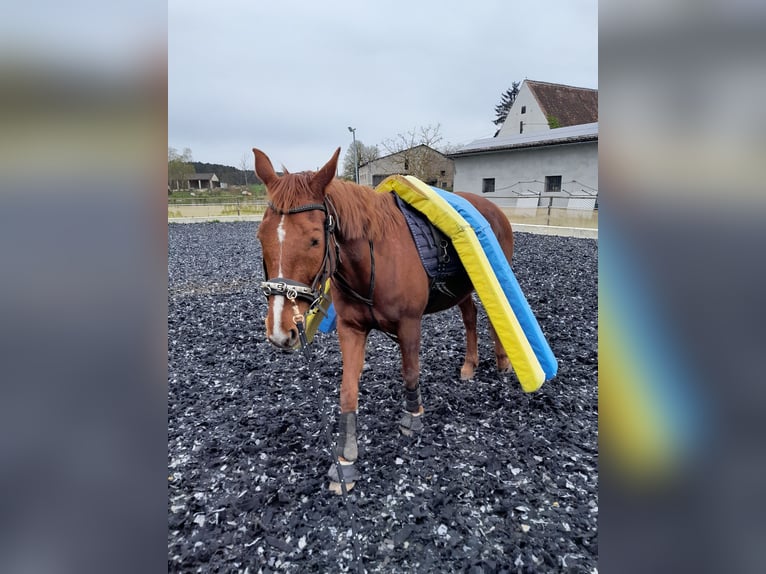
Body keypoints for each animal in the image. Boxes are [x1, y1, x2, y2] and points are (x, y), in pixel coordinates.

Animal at [254, 147, 516, 490]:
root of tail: (494, 209)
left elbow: (410, 372)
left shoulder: (409, 325)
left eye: (314, 240)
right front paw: (346, 460)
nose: (280, 331)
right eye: (261, 237)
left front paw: (413, 417)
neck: (372, 260)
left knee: (494, 318)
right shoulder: (351, 329)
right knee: (470, 317)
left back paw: (502, 361)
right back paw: (470, 364)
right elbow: (347, 391)